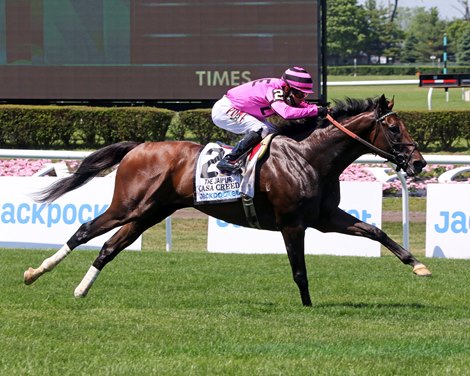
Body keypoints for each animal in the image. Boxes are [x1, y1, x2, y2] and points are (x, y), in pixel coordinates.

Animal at [24, 94, 430, 306]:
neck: (309, 156)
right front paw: (308, 307)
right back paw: (35, 272)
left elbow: (376, 231)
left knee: (109, 247)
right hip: (129, 205)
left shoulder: (325, 217)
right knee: (84, 230)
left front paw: (418, 265)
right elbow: (299, 269)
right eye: (394, 128)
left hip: (150, 212)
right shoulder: (292, 222)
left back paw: (80, 289)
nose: (419, 163)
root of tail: (139, 146)